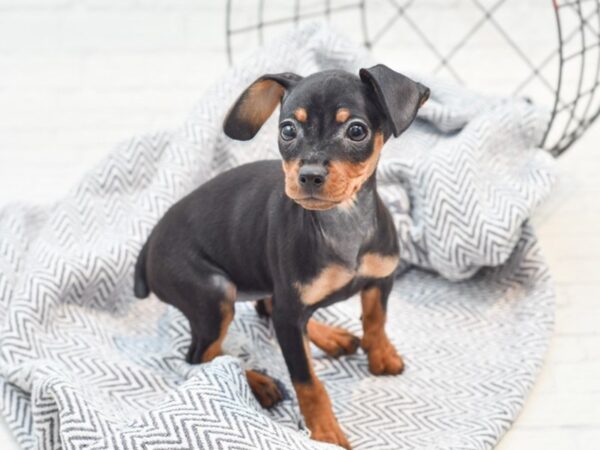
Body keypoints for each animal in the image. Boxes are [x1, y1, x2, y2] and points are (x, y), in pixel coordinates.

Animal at [134, 65, 428, 448]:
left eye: (356, 130)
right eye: (288, 130)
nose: (310, 175)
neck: (342, 223)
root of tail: (148, 246)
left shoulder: (381, 277)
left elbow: (376, 319)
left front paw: (381, 355)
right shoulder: (291, 314)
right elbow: (307, 381)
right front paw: (325, 432)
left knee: (268, 310)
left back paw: (329, 337)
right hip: (214, 295)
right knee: (203, 357)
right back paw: (259, 383)